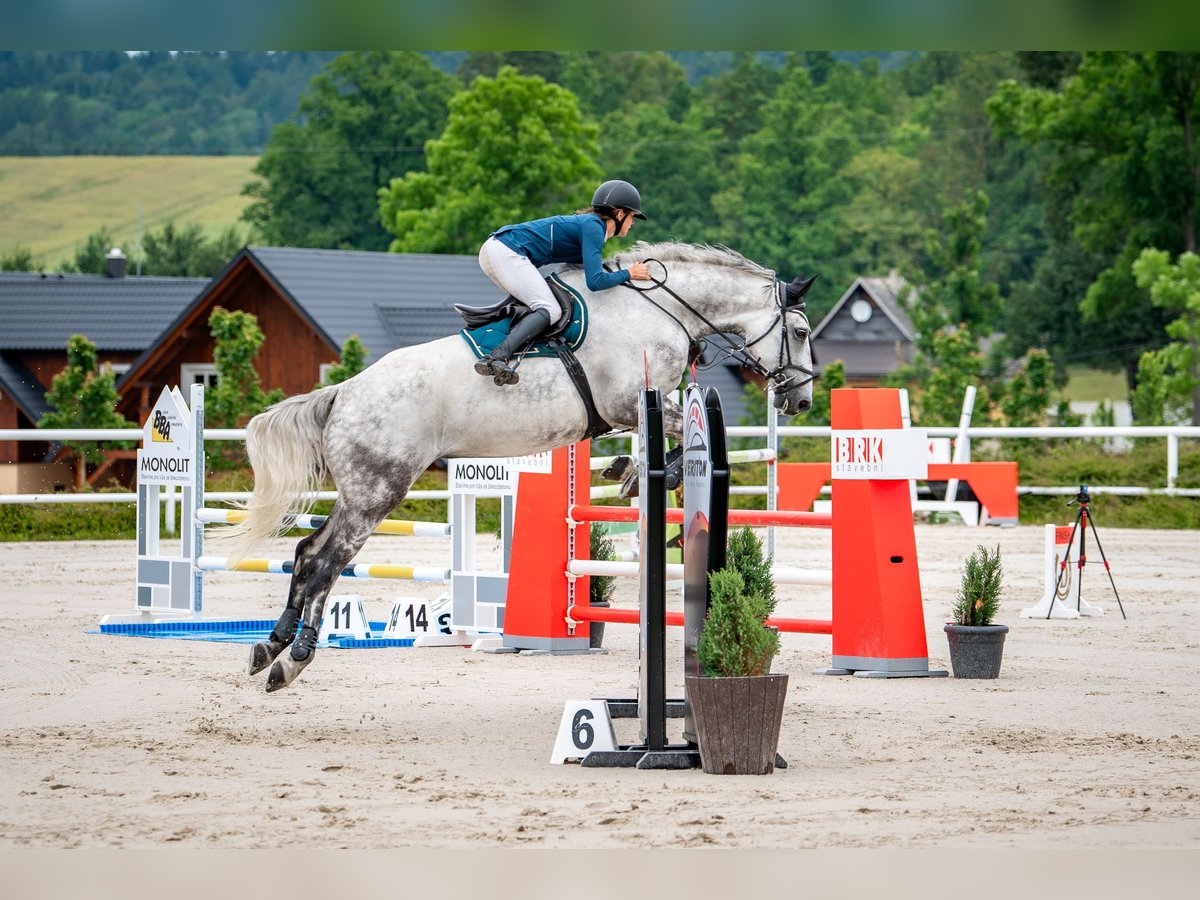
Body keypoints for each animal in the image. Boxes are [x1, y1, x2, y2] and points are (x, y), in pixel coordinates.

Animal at [213, 240, 816, 691]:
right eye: (802, 332)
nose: (803, 400)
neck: (657, 307)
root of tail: (342, 393)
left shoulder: (634, 407)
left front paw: (626, 470)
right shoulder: (629, 401)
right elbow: (665, 434)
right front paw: (632, 471)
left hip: (360, 491)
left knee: (304, 552)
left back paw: (268, 647)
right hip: (377, 492)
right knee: (325, 562)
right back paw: (293, 660)